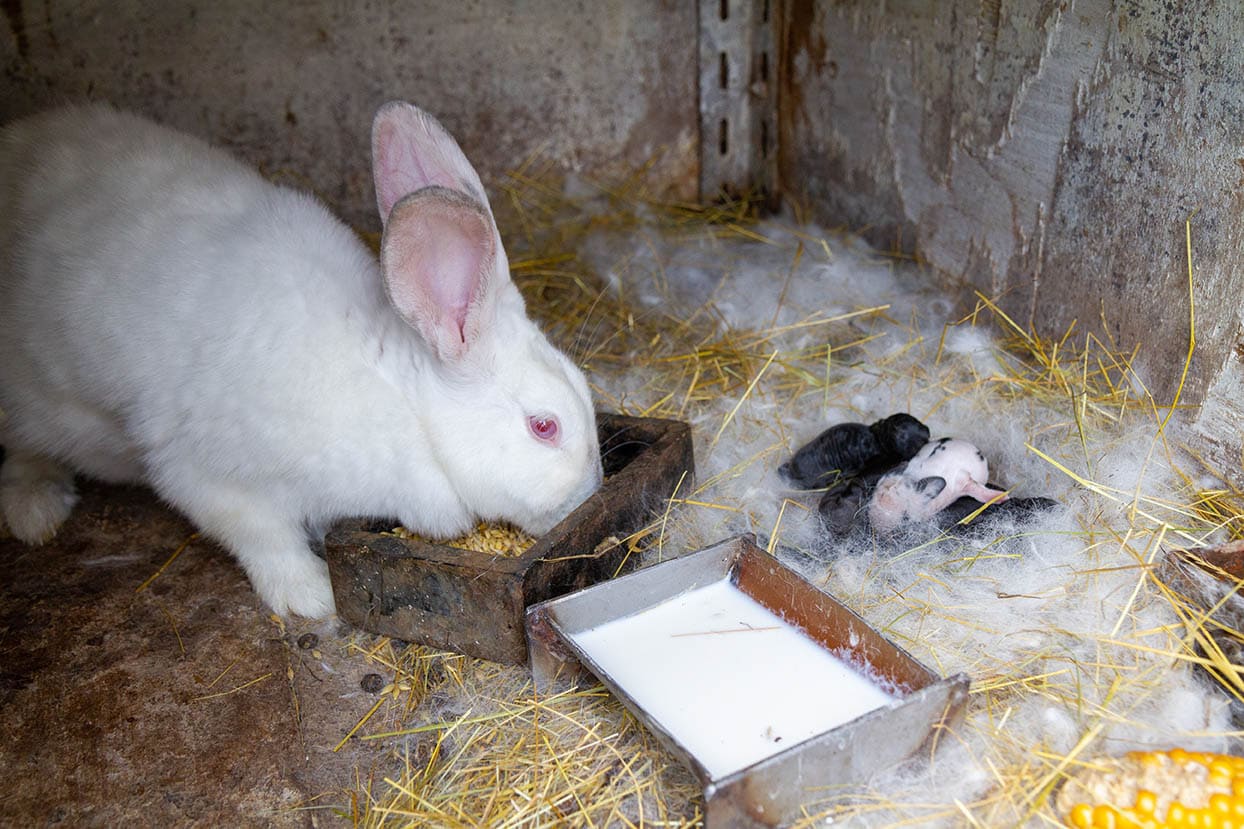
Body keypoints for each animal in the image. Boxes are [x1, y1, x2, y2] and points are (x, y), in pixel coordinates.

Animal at [0, 101, 603, 618]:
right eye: (544, 426)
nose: (589, 492)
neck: (404, 409)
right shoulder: (201, 473)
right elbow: (260, 535)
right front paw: (314, 596)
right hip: (37, 405)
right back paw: (35, 512)